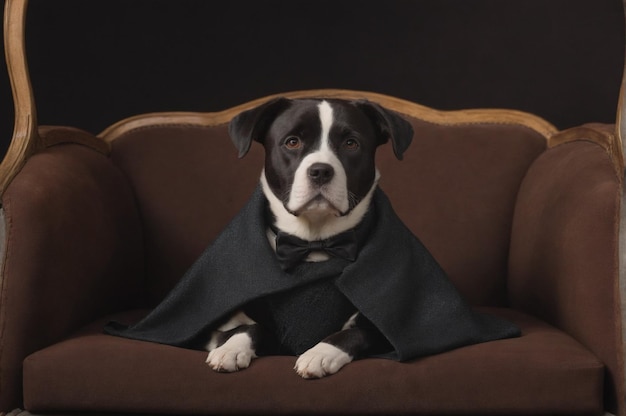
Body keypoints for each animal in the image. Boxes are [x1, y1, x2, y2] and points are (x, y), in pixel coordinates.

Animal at [202, 96, 412, 376]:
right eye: (293, 142)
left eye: (351, 143)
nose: (321, 171)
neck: (313, 243)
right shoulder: (221, 326)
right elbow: (249, 327)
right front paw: (231, 348)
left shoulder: (382, 330)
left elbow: (354, 332)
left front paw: (320, 353)